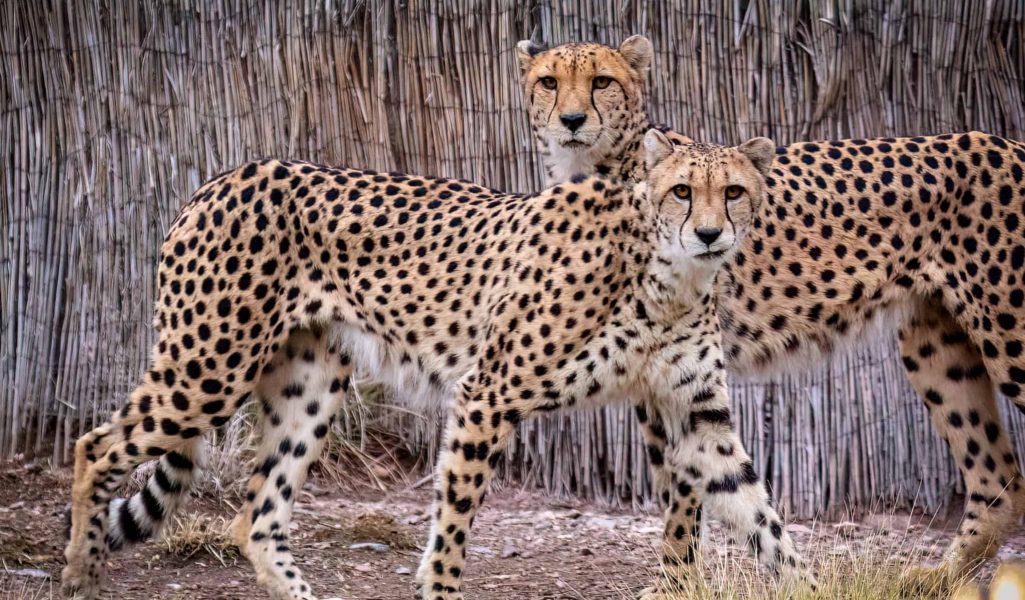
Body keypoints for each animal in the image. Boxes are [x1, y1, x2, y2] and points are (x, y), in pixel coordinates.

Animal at [59, 132, 807, 598]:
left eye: (733, 192)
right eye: (682, 191)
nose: (709, 233)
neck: (668, 277)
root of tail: (223, 177)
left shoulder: (697, 415)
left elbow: (762, 516)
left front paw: (806, 581)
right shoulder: (488, 392)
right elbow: (454, 518)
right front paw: (438, 588)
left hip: (308, 383)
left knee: (258, 516)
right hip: (208, 366)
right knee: (95, 446)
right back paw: (80, 576)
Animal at [520, 33, 1025, 590]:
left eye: (602, 82)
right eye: (549, 82)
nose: (571, 120)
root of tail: (1004, 143)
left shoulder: (685, 366)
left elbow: (685, 484)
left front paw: (677, 583)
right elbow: (679, 474)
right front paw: (680, 576)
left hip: (1010, 334)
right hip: (936, 348)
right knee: (999, 481)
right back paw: (937, 578)